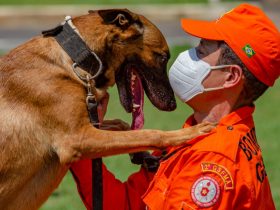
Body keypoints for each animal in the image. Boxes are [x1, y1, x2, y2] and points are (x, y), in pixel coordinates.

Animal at [0, 9, 212, 209]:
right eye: (163, 57)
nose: (172, 104)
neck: (74, 57)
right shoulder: (78, 137)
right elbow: (150, 133)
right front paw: (190, 132)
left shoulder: (92, 124)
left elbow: (123, 125)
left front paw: (143, 155)